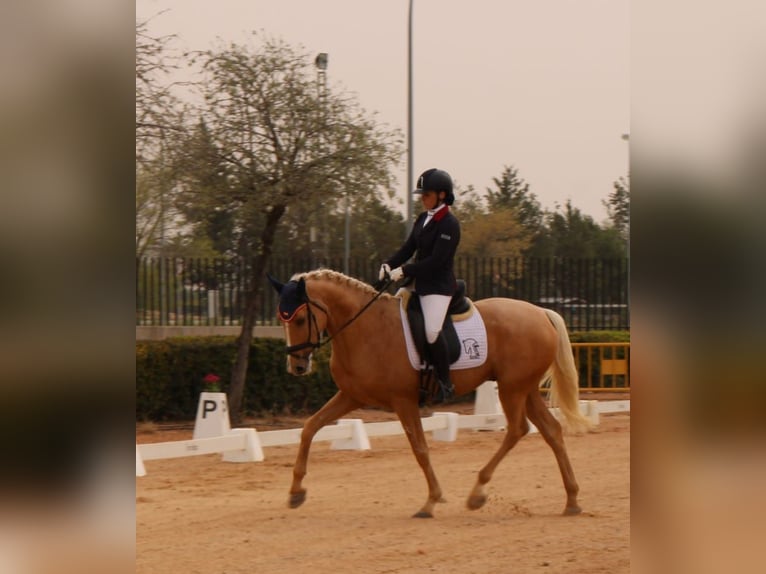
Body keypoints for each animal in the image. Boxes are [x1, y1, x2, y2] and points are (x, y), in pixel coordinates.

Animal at [270, 272, 592, 520]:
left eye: (299, 320)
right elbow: (310, 427)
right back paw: (572, 500)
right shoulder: (351, 396)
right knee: (551, 430)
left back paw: (477, 494)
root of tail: (541, 312)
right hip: (525, 388)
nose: (296, 367)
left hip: (512, 388)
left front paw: (430, 501)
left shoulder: (403, 401)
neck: (365, 328)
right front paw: (296, 492)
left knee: (517, 429)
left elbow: (420, 449)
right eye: (282, 319)